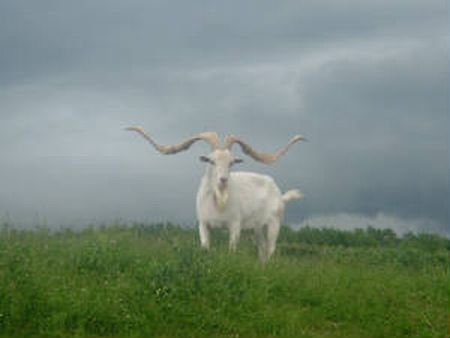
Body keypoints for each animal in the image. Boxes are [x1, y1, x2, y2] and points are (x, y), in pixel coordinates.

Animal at [126, 127, 306, 262]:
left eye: (231, 162)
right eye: (211, 160)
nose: (223, 180)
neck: (217, 202)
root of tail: (280, 195)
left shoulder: (235, 226)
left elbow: (232, 249)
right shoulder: (203, 224)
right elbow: (205, 247)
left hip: (274, 224)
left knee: (270, 250)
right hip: (257, 229)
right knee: (262, 251)